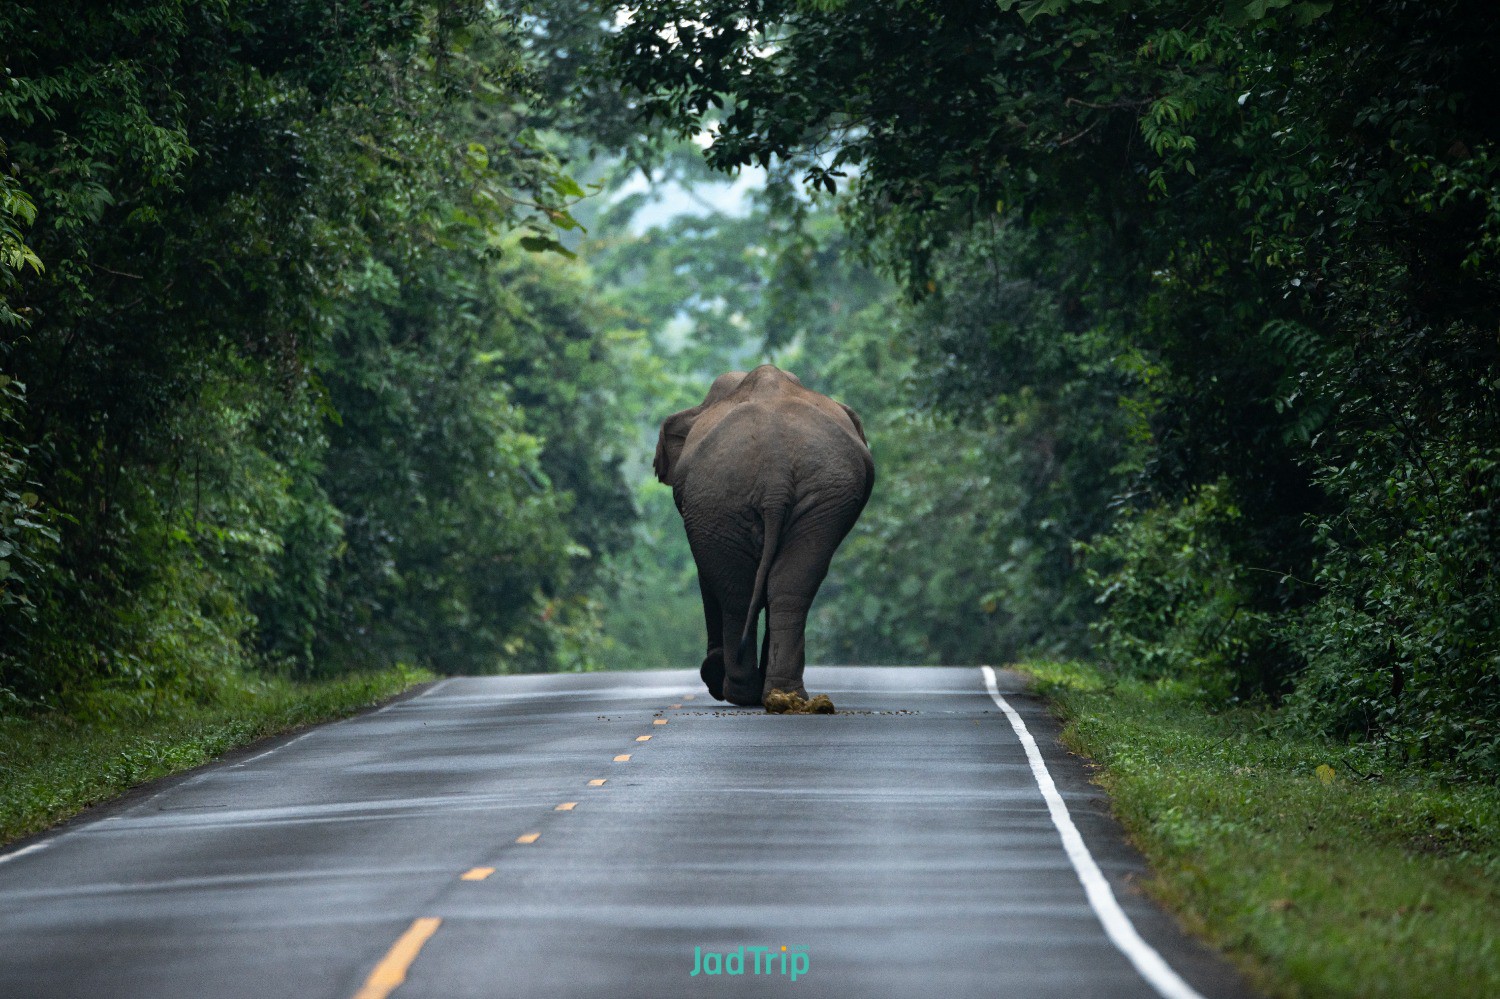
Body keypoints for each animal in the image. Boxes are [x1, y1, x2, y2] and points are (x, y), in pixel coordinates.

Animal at [654, 364, 874, 707]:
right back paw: (778, 693)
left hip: (723, 499)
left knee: (740, 588)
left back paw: (742, 693)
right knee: (789, 582)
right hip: (805, 496)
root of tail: (776, 474)